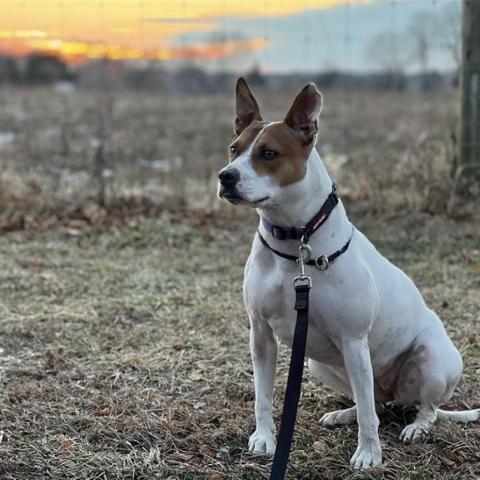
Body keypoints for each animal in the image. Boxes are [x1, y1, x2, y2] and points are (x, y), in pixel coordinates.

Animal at [218, 78, 480, 468]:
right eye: (233, 150)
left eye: (268, 154)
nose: (226, 177)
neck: (295, 241)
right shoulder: (261, 335)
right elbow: (262, 396)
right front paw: (264, 438)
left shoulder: (354, 340)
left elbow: (370, 417)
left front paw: (368, 453)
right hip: (319, 364)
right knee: (373, 401)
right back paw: (345, 413)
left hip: (432, 361)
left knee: (419, 408)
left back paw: (416, 427)